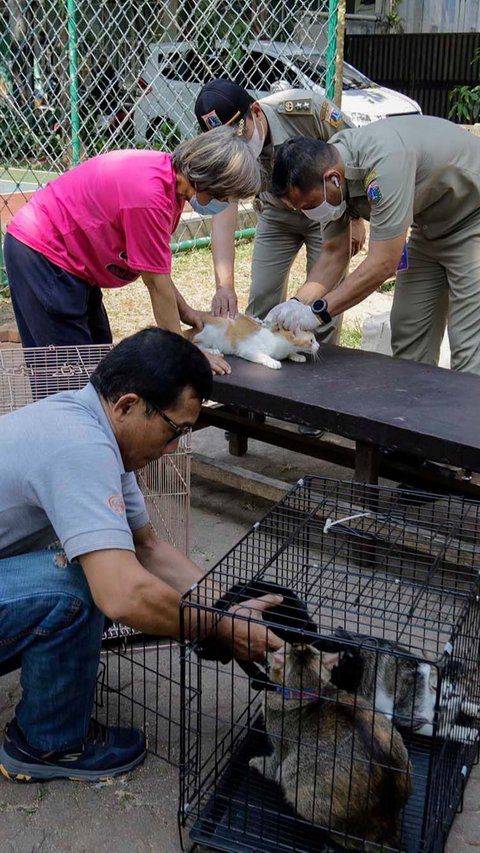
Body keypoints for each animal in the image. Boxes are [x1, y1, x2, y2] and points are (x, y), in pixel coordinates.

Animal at [190, 312, 318, 368]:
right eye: (311, 340)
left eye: (315, 339)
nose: (318, 346)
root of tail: (206, 316)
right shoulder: (247, 350)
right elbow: (263, 356)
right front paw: (273, 362)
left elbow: (291, 353)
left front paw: (297, 355)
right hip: (215, 331)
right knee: (195, 342)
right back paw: (212, 351)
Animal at [249, 644, 410, 848]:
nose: (295, 644)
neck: (307, 692)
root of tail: (386, 819)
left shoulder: (281, 748)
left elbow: (271, 766)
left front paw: (256, 763)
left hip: (297, 783)